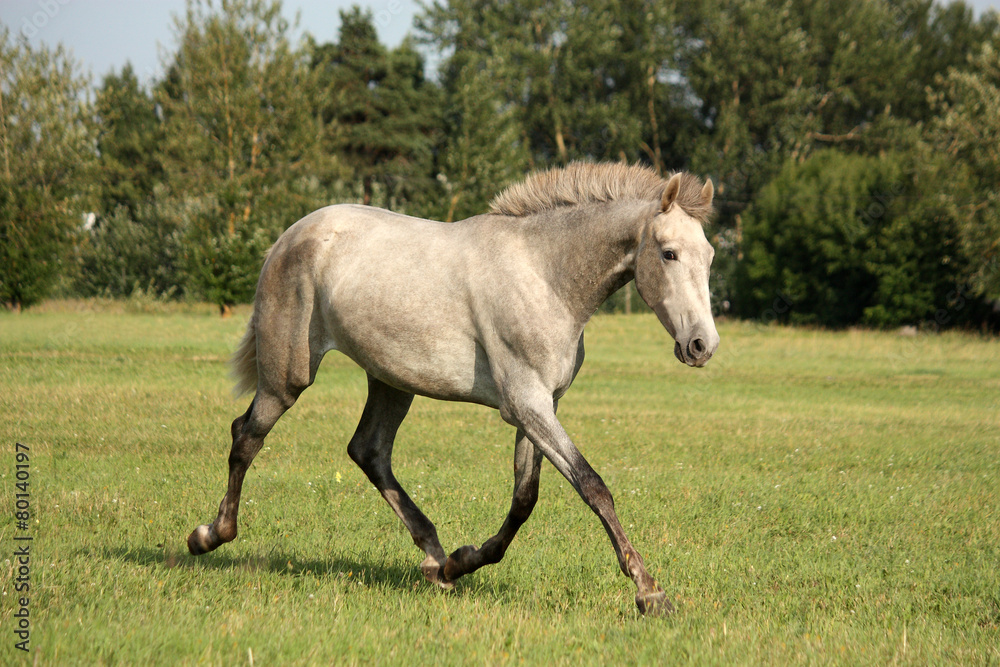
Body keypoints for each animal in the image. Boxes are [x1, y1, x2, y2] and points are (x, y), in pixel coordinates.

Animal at [188, 160, 720, 616]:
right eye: (669, 253)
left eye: (710, 256)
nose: (702, 345)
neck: (545, 274)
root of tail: (287, 238)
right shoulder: (527, 404)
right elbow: (593, 487)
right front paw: (650, 593)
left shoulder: (538, 407)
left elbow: (524, 501)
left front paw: (459, 563)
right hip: (288, 378)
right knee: (246, 436)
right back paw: (209, 535)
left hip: (391, 381)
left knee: (368, 451)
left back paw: (433, 556)